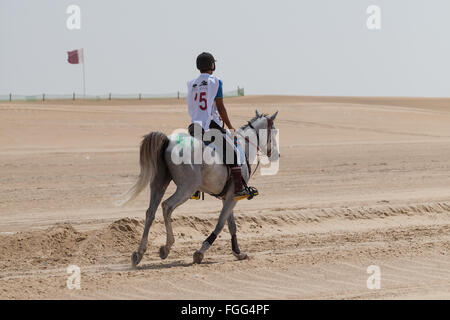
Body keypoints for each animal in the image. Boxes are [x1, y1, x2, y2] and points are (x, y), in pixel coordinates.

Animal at [122, 110, 278, 264]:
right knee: (167, 206)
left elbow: (231, 225)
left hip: (159, 184)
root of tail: (168, 141)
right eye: (275, 132)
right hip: (186, 188)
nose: (277, 155)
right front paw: (201, 251)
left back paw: (139, 253)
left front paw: (238, 252)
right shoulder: (233, 197)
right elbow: (221, 223)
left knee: (150, 212)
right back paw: (166, 247)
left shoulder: (227, 197)